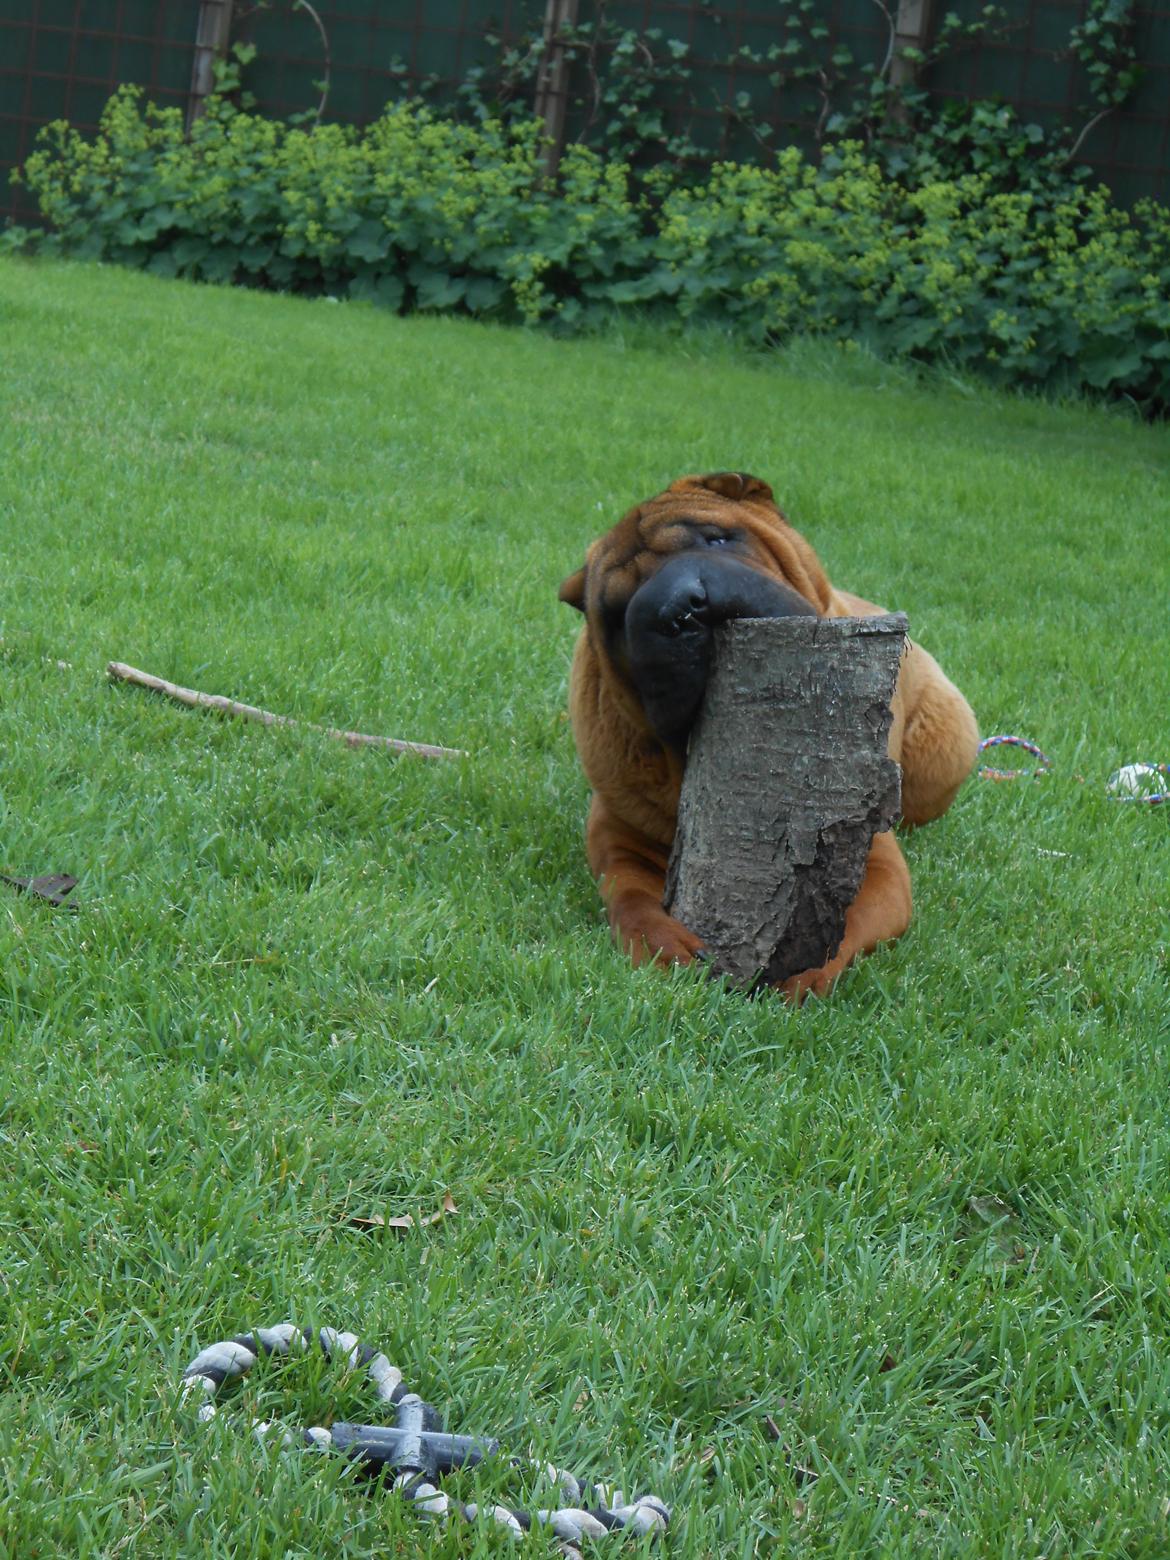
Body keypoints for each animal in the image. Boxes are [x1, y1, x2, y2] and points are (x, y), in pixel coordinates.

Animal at [558, 467, 979, 998]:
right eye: (616, 614)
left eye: (717, 539)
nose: (679, 608)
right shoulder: (617, 836)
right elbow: (629, 897)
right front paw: (665, 947)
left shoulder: (875, 861)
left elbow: (846, 921)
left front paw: (797, 972)